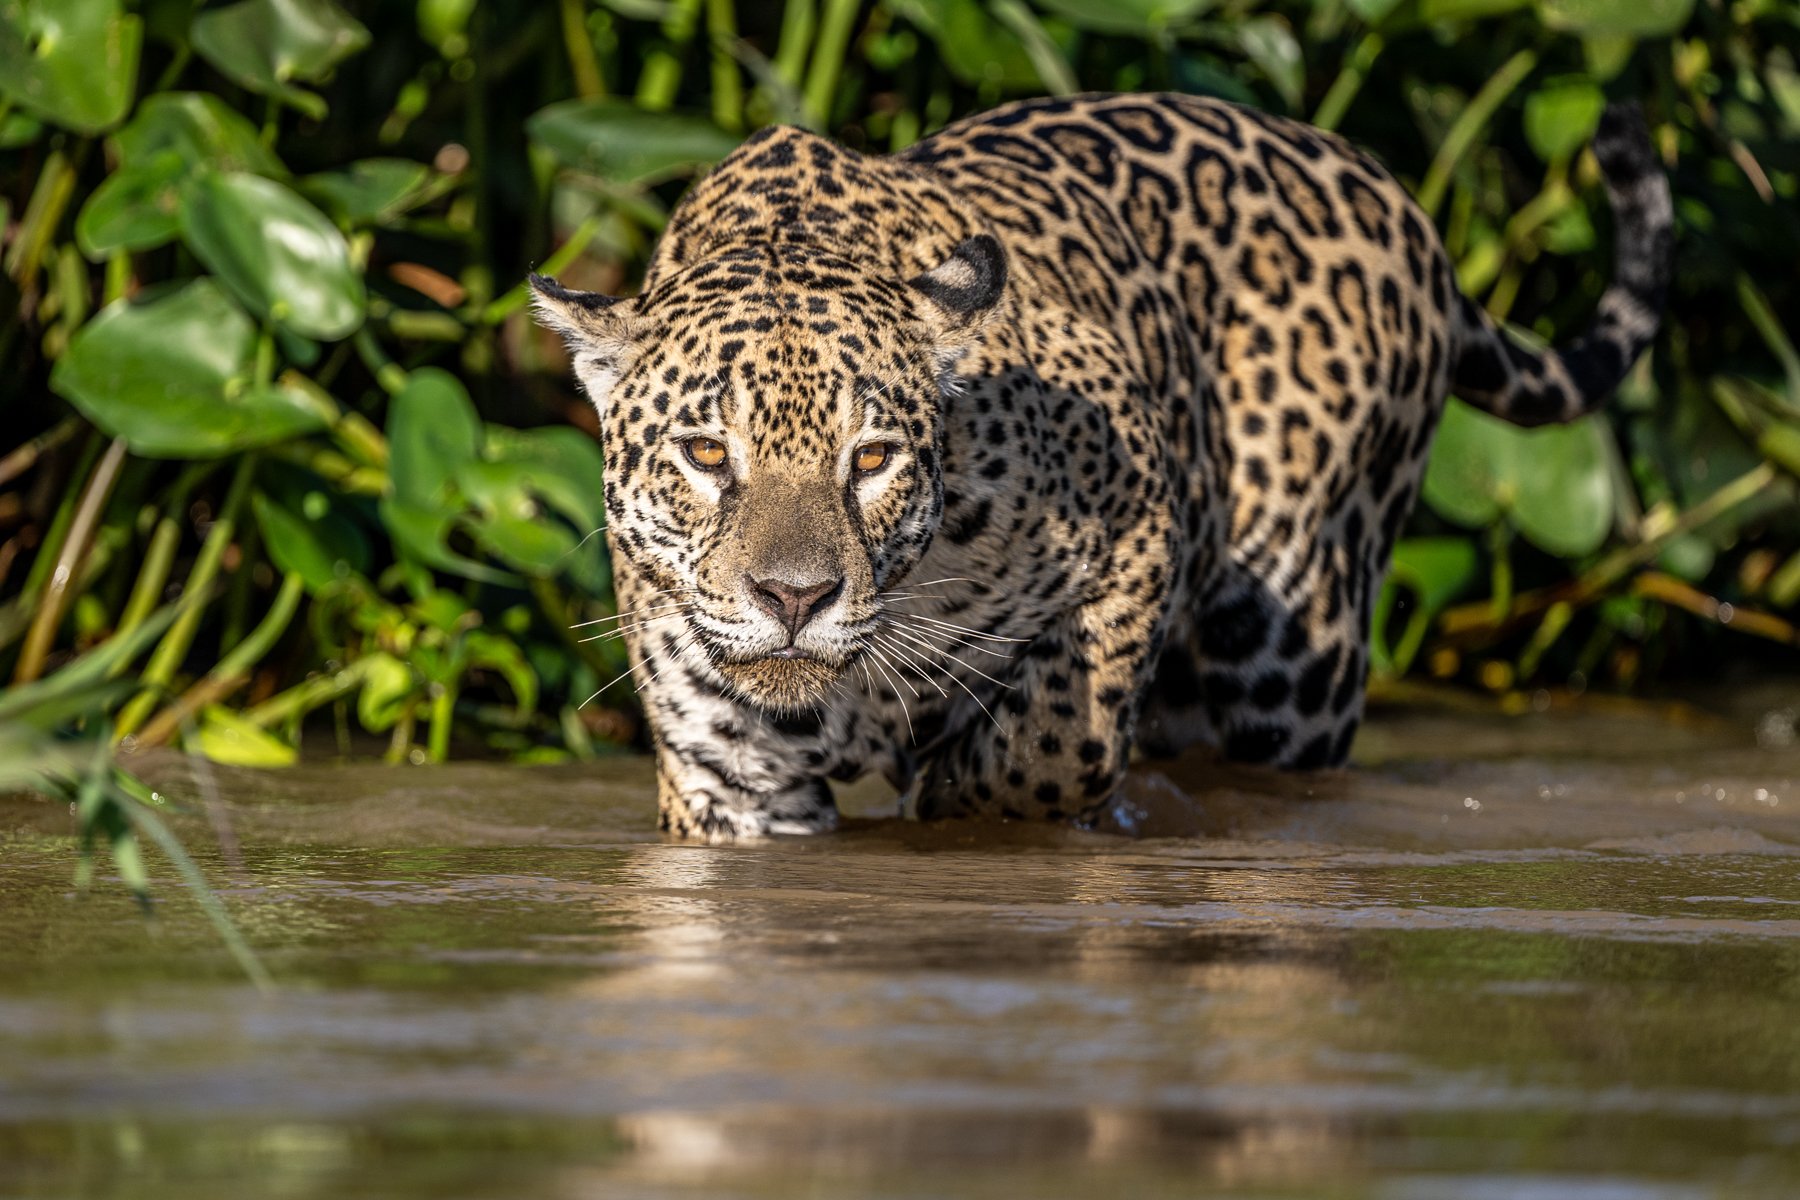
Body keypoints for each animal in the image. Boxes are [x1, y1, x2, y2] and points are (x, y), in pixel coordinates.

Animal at [531, 92, 1672, 840]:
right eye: (706, 454)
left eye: (873, 459)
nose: (795, 599)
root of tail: (1396, 195)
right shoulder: (736, 790)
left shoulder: (1135, 498)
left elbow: (1054, 745)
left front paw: (952, 790)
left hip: (1297, 657)